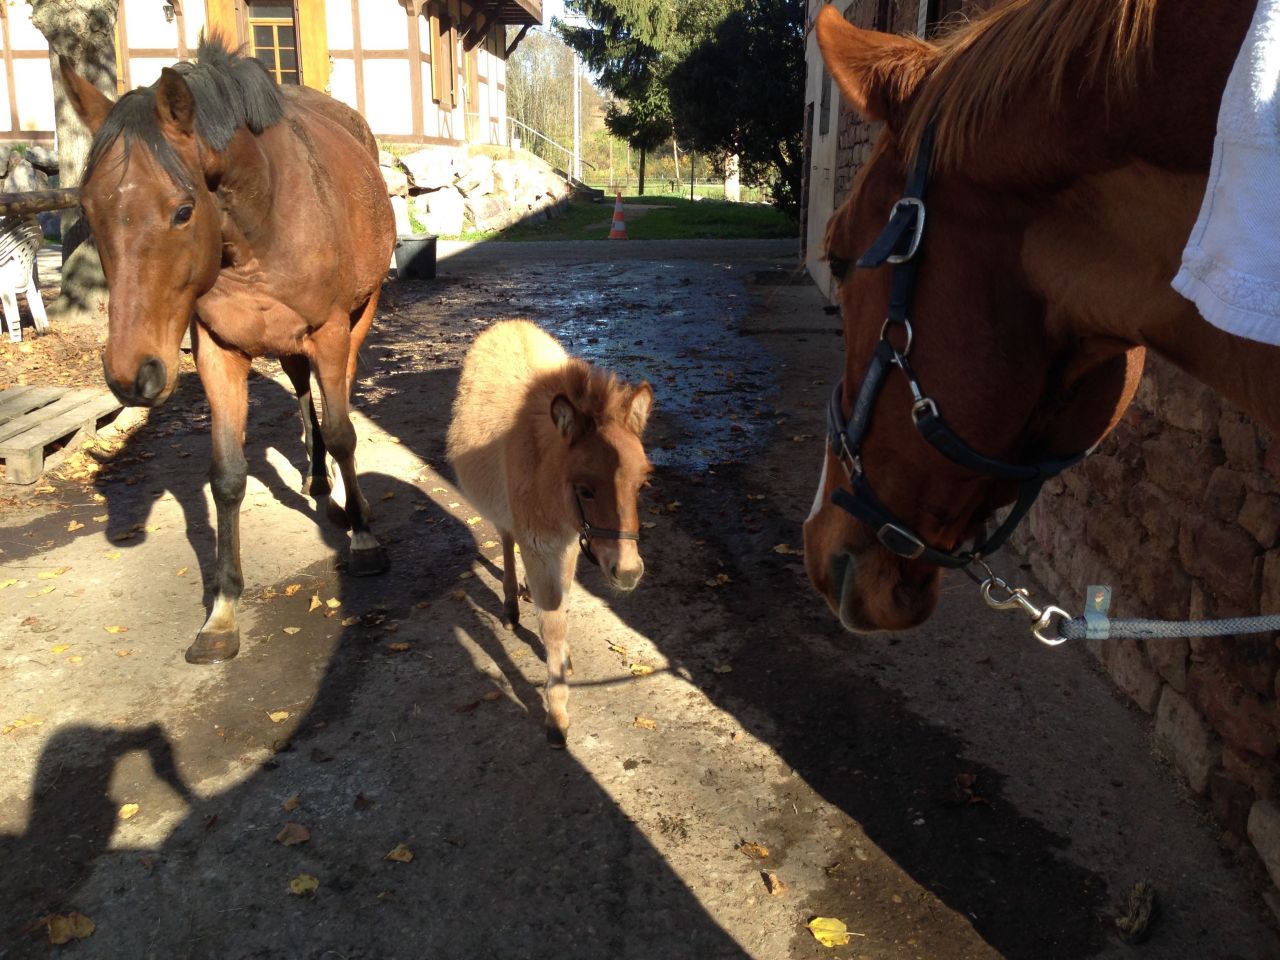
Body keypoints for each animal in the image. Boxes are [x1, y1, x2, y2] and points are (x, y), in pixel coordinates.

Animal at [60, 39, 395, 664]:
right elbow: (227, 476)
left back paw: (347, 499)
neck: (263, 222)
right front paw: (222, 612)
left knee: (336, 398)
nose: (131, 374)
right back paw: (317, 480)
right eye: (88, 211)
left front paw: (364, 539)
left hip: (357, 321)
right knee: (302, 392)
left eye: (183, 210)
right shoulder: (217, 351)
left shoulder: (330, 332)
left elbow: (343, 432)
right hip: (286, 347)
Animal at [446, 320, 653, 747]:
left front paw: (564, 658)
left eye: (642, 485)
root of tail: (510, 323)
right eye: (585, 489)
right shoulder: (542, 542)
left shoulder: (570, 542)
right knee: (506, 538)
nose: (628, 572)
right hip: (504, 512)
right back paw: (511, 605)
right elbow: (552, 621)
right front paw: (556, 712)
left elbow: (564, 600)